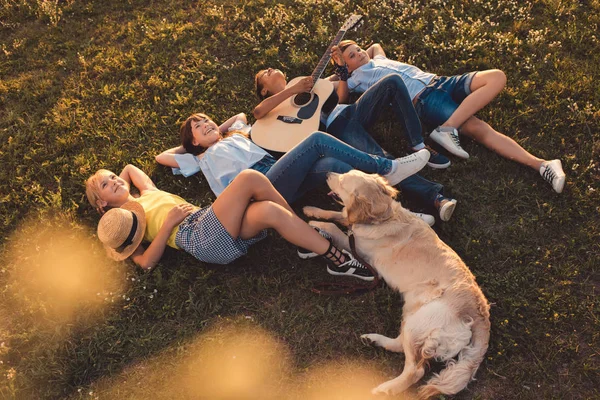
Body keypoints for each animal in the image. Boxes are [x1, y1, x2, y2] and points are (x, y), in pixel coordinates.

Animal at [302, 170, 490, 398]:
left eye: (342, 181)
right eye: (344, 172)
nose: (328, 173)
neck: (383, 217)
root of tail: (481, 314)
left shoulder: (358, 247)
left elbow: (335, 227)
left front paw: (314, 224)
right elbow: (337, 214)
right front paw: (312, 210)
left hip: (421, 321)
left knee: (415, 370)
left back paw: (385, 388)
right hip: (411, 315)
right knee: (400, 345)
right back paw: (373, 339)